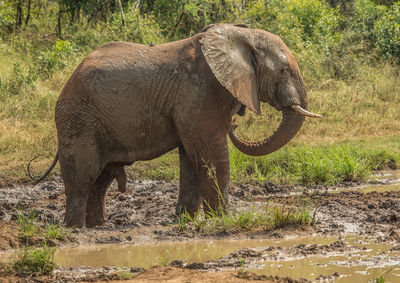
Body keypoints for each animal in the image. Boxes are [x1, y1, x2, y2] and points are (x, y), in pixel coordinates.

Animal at [28, 23, 322, 229]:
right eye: (283, 71)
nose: (236, 125)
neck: (239, 36)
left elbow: (191, 158)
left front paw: (187, 222)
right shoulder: (197, 93)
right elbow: (213, 156)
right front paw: (223, 219)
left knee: (102, 177)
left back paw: (98, 227)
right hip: (78, 119)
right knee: (83, 175)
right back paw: (76, 230)